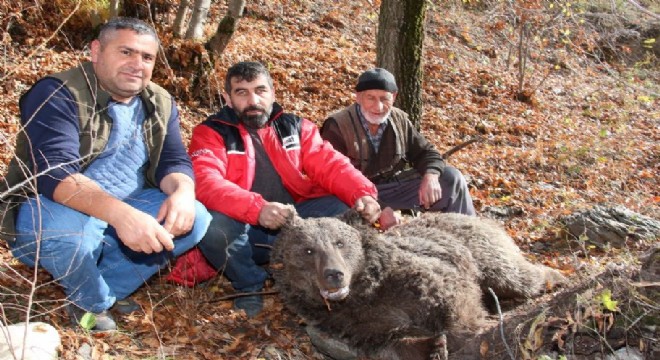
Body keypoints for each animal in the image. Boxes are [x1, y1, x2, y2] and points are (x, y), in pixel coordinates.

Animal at [270, 211, 564, 360]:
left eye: (339, 242)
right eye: (308, 250)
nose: (334, 274)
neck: (362, 293)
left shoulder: (427, 279)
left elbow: (458, 308)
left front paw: (465, 335)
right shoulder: (355, 324)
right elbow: (392, 339)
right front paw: (432, 346)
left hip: (484, 253)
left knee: (515, 275)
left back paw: (556, 277)